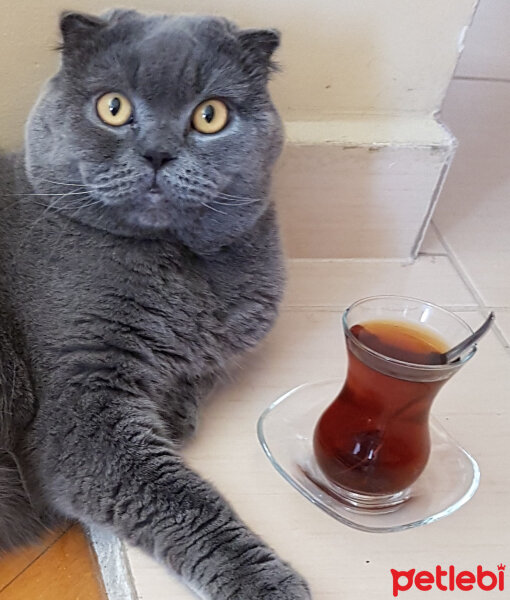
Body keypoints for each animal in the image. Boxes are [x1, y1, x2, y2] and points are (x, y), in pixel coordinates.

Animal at [0, 9, 310, 600]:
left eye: (210, 115)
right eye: (113, 107)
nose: (158, 153)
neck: (183, 267)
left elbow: (199, 373)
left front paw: (178, 410)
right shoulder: (81, 401)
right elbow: (187, 506)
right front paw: (267, 584)